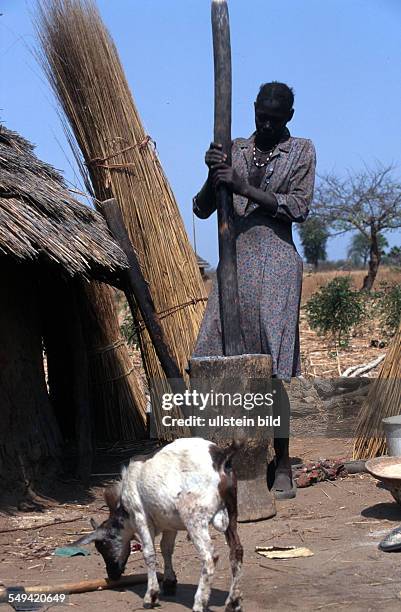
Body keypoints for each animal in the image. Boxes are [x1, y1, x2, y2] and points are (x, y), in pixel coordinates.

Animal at [75, 438, 244, 608]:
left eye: (102, 546)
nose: (112, 574)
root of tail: (221, 456)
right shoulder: (170, 524)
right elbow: (166, 548)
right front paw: (169, 583)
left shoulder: (140, 516)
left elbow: (149, 553)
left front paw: (151, 595)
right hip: (232, 511)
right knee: (236, 550)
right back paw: (233, 601)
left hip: (194, 517)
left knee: (210, 556)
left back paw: (199, 603)